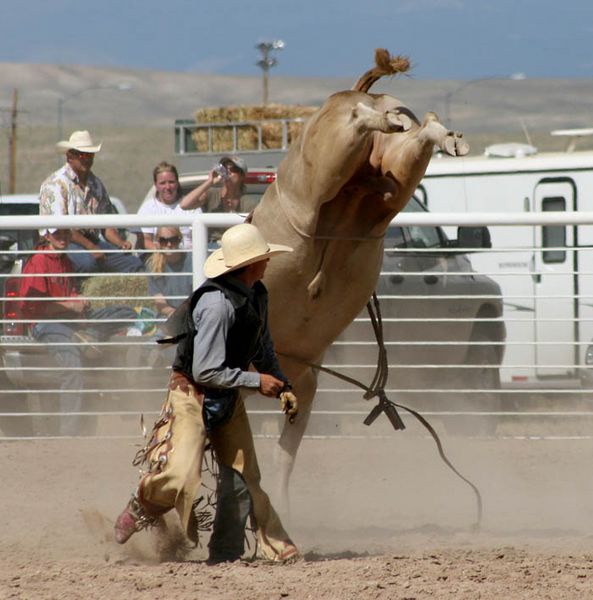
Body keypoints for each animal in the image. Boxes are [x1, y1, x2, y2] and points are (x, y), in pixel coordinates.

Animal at [250, 49, 468, 506]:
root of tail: (360, 93)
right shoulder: (304, 387)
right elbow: (285, 455)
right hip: (394, 181)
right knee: (417, 136)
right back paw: (437, 133)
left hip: (327, 163)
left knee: (356, 121)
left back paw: (379, 117)